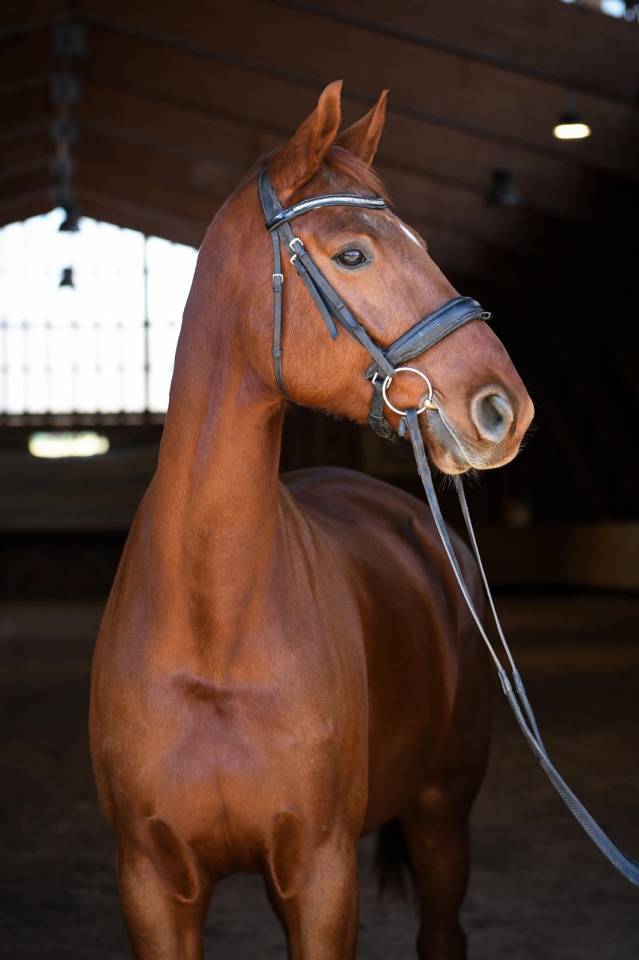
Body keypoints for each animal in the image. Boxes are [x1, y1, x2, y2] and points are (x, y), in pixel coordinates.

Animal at [90, 80, 534, 960]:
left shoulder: (320, 875)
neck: (211, 631)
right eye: (352, 254)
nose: (506, 409)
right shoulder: (151, 884)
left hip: (440, 815)